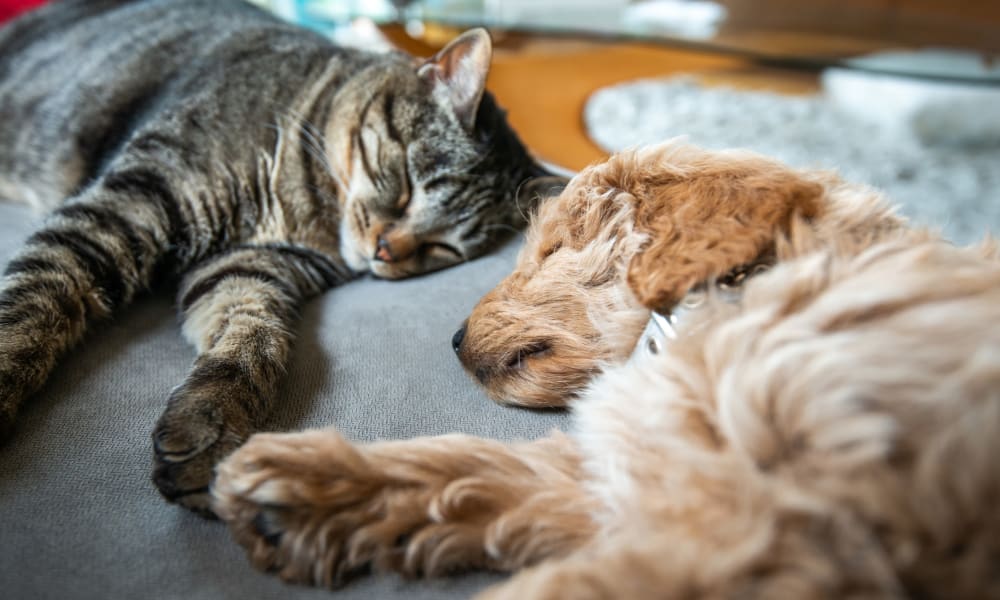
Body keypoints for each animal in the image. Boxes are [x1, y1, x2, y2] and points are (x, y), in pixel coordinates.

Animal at [0, 0, 548, 516]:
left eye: (443, 248)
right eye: (409, 187)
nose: (385, 251)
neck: (302, 211)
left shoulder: (248, 267)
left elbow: (253, 340)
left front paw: (211, 425)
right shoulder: (131, 204)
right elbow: (34, 300)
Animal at [211, 143, 1000, 596]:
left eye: (555, 247)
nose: (454, 339)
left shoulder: (782, 529)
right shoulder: (644, 468)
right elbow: (484, 468)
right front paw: (310, 488)